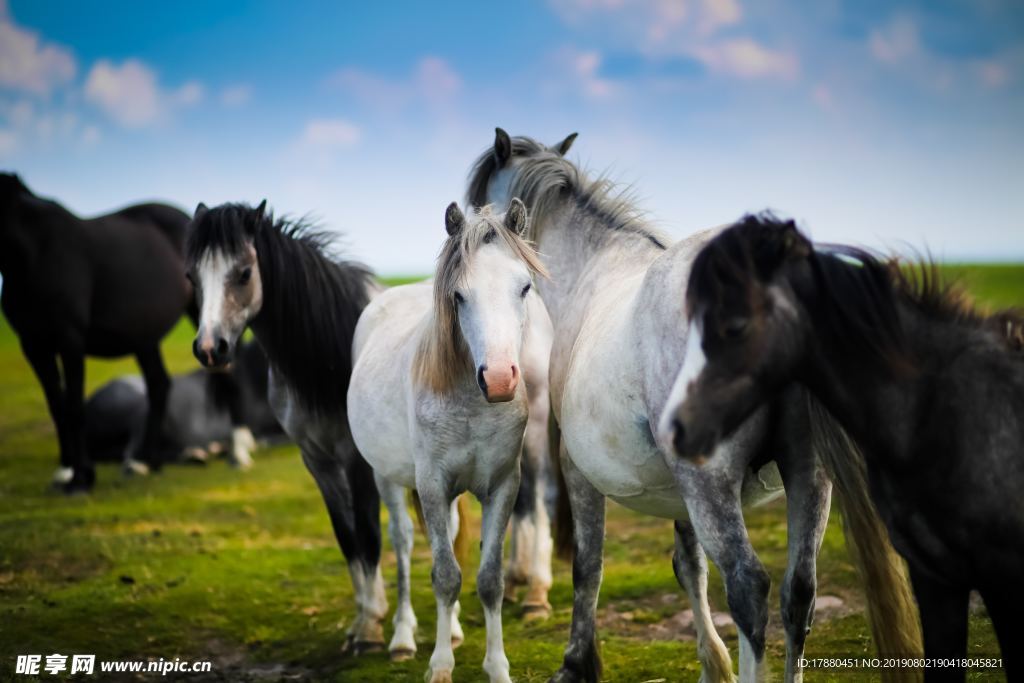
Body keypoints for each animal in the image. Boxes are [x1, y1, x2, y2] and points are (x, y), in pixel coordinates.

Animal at [1, 171, 192, 491]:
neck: (35, 251)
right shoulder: (33, 344)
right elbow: (57, 406)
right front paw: (65, 470)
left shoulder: (70, 339)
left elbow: (74, 406)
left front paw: (81, 477)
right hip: (144, 338)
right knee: (158, 384)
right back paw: (147, 461)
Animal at [346, 200, 552, 683]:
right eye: (458, 296)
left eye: (524, 287)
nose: (499, 379)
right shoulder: (433, 487)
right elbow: (444, 575)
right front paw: (440, 666)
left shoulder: (502, 486)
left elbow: (489, 579)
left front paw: (497, 667)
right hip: (387, 478)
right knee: (403, 544)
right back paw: (402, 637)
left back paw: (453, 629)